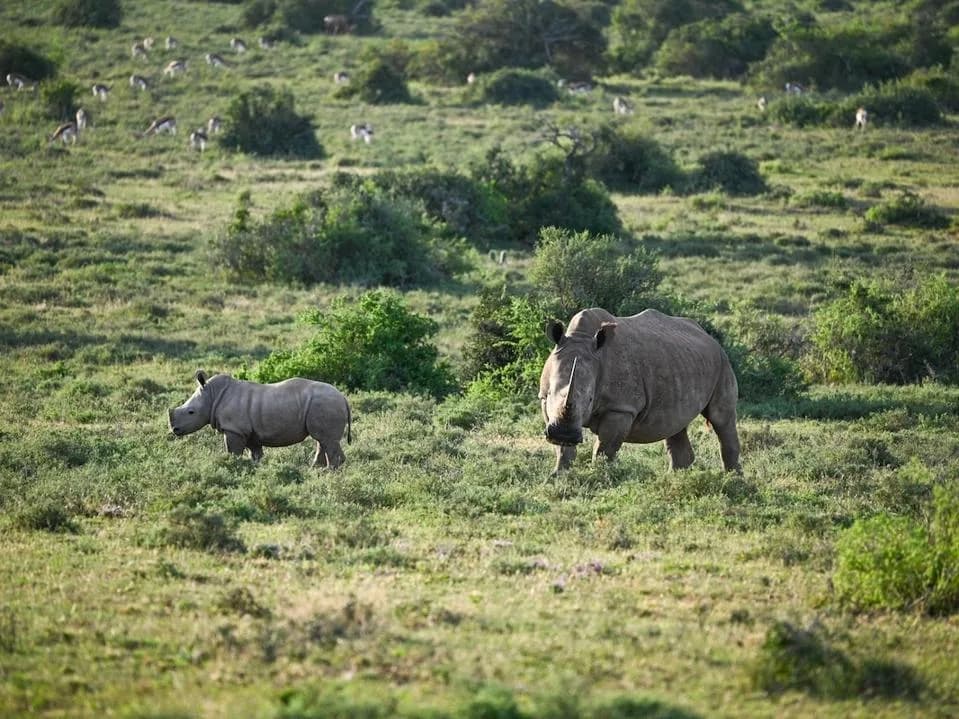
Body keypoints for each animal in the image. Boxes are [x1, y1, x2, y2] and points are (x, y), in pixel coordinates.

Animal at [169, 371, 351, 468]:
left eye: (191, 412)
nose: (174, 430)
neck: (212, 396)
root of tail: (343, 397)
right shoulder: (248, 431)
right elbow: (255, 453)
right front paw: (255, 468)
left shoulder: (234, 429)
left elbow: (232, 451)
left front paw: (232, 465)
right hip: (322, 405)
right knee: (323, 440)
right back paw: (315, 470)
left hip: (325, 404)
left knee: (326, 440)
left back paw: (328, 472)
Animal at [539, 308, 740, 474]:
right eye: (550, 394)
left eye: (590, 399)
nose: (564, 434)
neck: (580, 337)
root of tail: (709, 336)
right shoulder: (545, 403)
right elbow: (563, 450)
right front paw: (558, 476)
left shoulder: (621, 408)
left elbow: (604, 450)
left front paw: (598, 476)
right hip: (682, 362)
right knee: (675, 425)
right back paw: (673, 479)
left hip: (723, 362)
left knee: (721, 419)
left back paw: (733, 480)